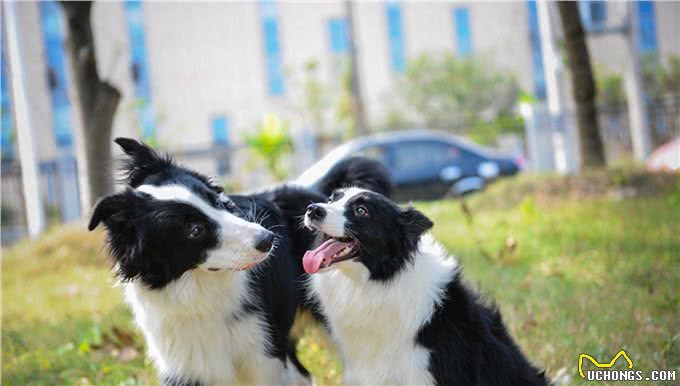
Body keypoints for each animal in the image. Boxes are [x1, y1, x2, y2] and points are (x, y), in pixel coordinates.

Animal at [89, 139, 394, 386]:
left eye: (217, 200)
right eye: (195, 230)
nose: (269, 239)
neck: (200, 292)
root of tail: (316, 192)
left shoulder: (262, 354)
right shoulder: (185, 363)